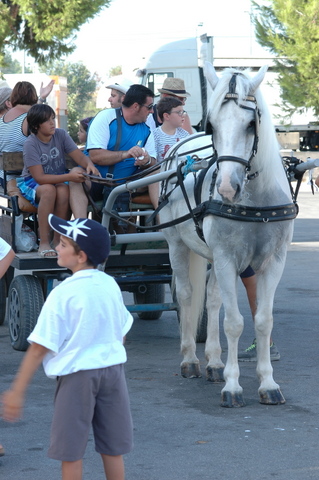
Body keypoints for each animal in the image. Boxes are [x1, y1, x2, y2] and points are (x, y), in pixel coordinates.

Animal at [160, 62, 298, 406]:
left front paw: (268, 384)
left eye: (251, 124)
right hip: (177, 245)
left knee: (211, 299)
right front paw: (233, 386)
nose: (225, 188)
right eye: (212, 125)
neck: (256, 201)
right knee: (187, 295)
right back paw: (190, 360)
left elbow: (263, 320)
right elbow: (234, 322)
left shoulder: (273, 262)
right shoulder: (226, 258)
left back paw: (213, 362)